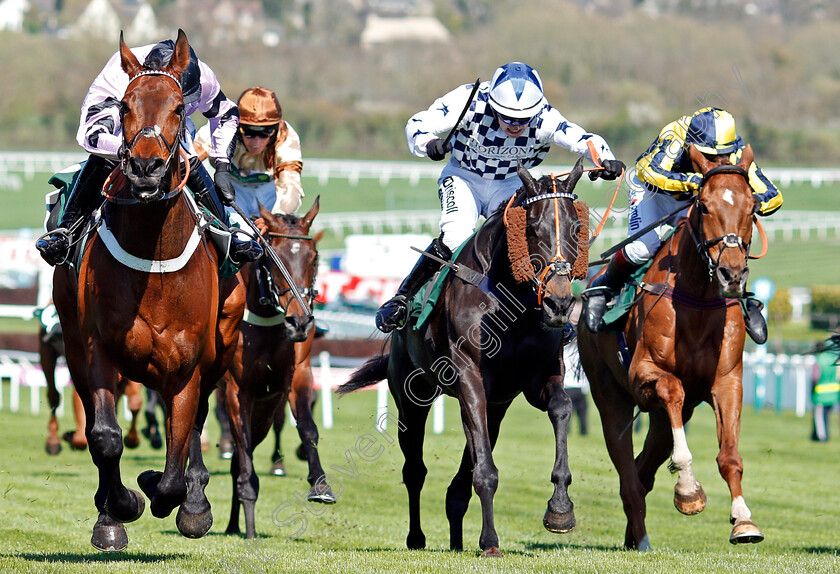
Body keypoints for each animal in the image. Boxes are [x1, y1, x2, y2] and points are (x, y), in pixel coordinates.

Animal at [52, 31, 244, 552]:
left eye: (179, 107)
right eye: (124, 105)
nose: (145, 168)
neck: (154, 262)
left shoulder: (189, 362)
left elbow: (177, 457)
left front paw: (178, 497)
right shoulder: (97, 350)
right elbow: (104, 436)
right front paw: (119, 508)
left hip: (222, 344)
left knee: (196, 422)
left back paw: (194, 500)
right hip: (72, 343)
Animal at [221, 200, 330, 544]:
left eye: (313, 257)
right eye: (273, 257)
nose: (299, 322)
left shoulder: (297, 376)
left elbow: (308, 428)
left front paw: (320, 484)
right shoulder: (236, 388)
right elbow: (241, 447)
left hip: (265, 409)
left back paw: (232, 523)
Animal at [336, 162, 592, 560]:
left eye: (577, 228)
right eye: (532, 229)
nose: (560, 303)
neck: (508, 302)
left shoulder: (537, 378)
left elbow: (562, 407)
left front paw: (560, 509)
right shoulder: (469, 378)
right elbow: (484, 471)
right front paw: (490, 542)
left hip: (497, 407)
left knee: (458, 483)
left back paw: (456, 541)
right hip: (411, 397)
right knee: (415, 471)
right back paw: (417, 537)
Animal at [576, 144, 768, 548]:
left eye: (751, 207)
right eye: (705, 206)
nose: (732, 273)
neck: (696, 302)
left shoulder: (727, 381)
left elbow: (730, 456)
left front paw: (743, 521)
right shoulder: (643, 375)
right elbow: (671, 387)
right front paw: (688, 490)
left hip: (665, 420)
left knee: (642, 471)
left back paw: (633, 535)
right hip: (610, 399)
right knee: (628, 475)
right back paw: (641, 537)